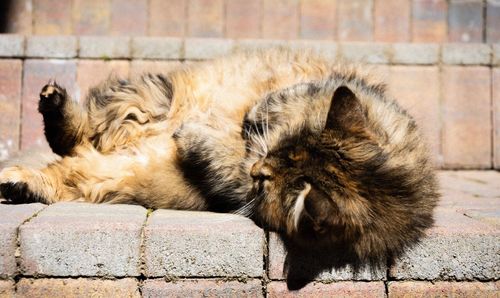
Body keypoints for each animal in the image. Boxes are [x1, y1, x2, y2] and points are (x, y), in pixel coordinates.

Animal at [0, 49, 438, 260]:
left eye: (267, 180)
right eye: (280, 146)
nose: (257, 162)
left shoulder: (233, 189)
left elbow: (221, 159)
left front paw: (201, 135)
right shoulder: (321, 86)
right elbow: (270, 104)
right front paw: (242, 122)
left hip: (105, 170)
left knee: (67, 165)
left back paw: (16, 183)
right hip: (148, 98)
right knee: (78, 134)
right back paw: (55, 104)